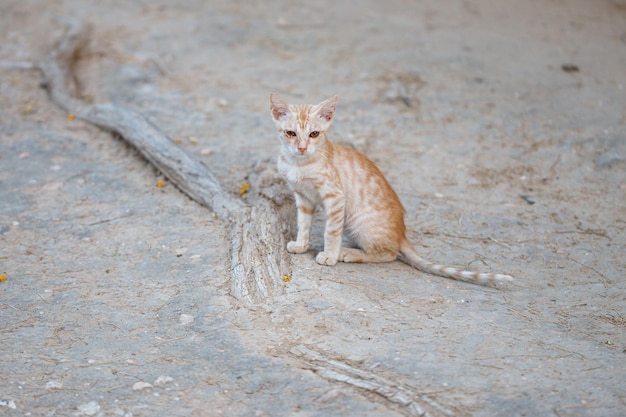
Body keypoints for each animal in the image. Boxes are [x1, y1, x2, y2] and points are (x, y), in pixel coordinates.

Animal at [268, 92, 512, 284]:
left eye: (314, 134)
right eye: (291, 133)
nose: (302, 148)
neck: (299, 164)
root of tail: (402, 233)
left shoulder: (335, 197)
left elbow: (330, 231)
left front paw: (329, 255)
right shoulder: (303, 197)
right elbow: (303, 224)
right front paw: (302, 245)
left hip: (358, 222)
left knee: (390, 254)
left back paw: (347, 253)